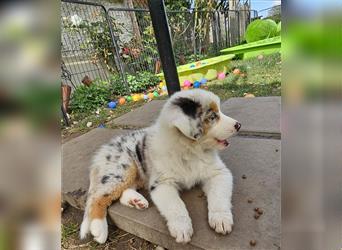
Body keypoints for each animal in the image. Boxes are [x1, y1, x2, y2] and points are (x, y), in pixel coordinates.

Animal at [80, 89, 240, 244]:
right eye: (212, 117)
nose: (238, 125)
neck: (190, 150)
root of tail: (103, 150)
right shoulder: (162, 183)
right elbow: (175, 205)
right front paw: (182, 229)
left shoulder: (218, 173)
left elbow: (218, 196)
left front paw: (221, 220)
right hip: (121, 171)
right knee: (97, 198)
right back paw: (98, 229)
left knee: (123, 192)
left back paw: (137, 201)